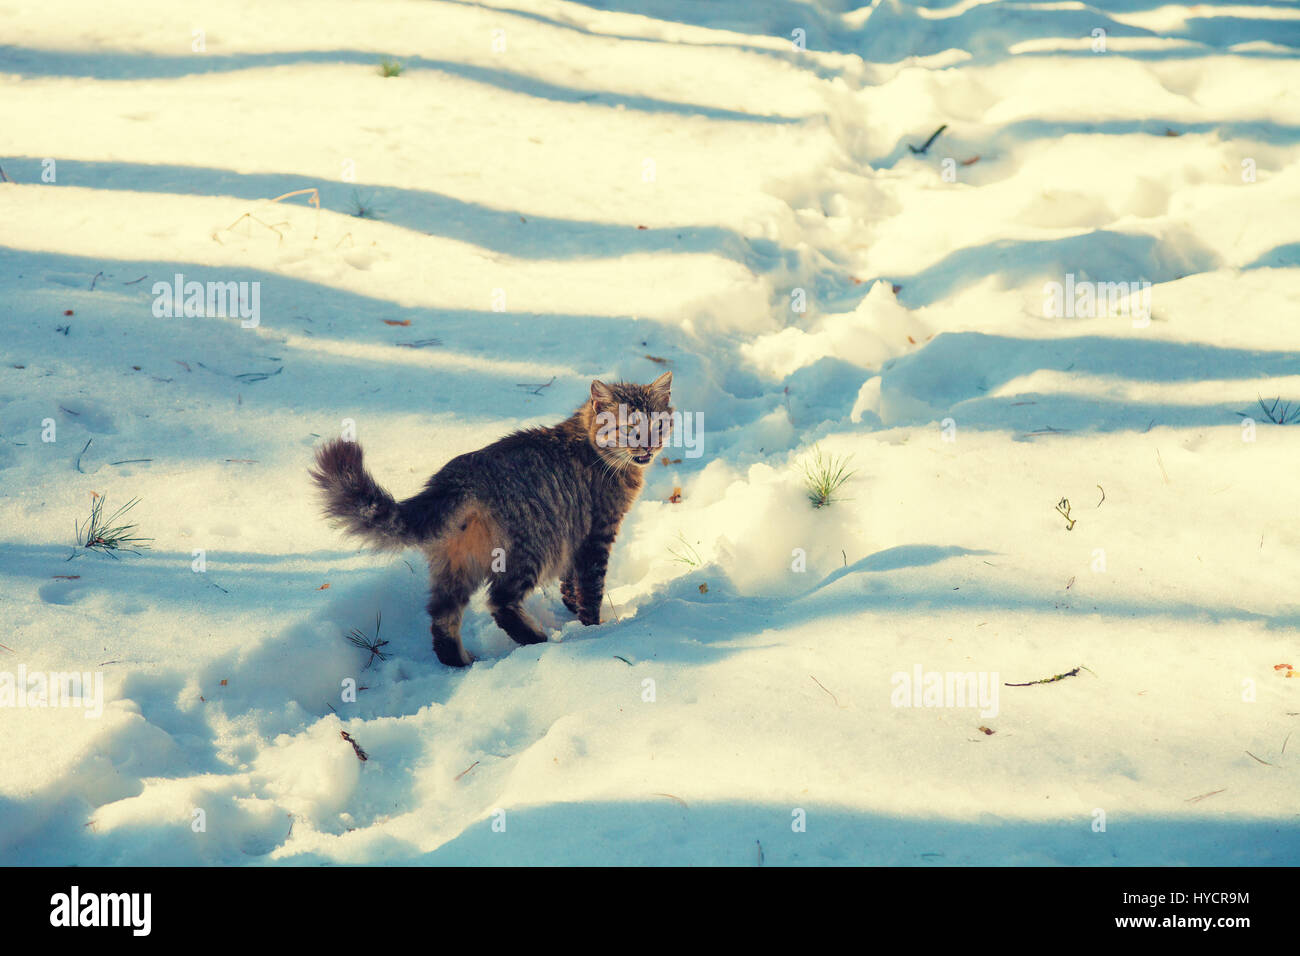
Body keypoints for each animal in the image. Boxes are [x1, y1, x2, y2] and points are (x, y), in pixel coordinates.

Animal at [310, 371, 676, 665]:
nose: (649, 446)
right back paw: (538, 641)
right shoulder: (596, 534)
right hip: (532, 549)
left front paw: (570, 609)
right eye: (629, 428)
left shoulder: (575, 539)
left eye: (657, 424)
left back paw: (460, 663)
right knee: (499, 602)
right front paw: (594, 631)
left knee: (442, 618)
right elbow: (590, 590)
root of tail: (461, 476)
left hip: (457, 564)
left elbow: (570, 583)